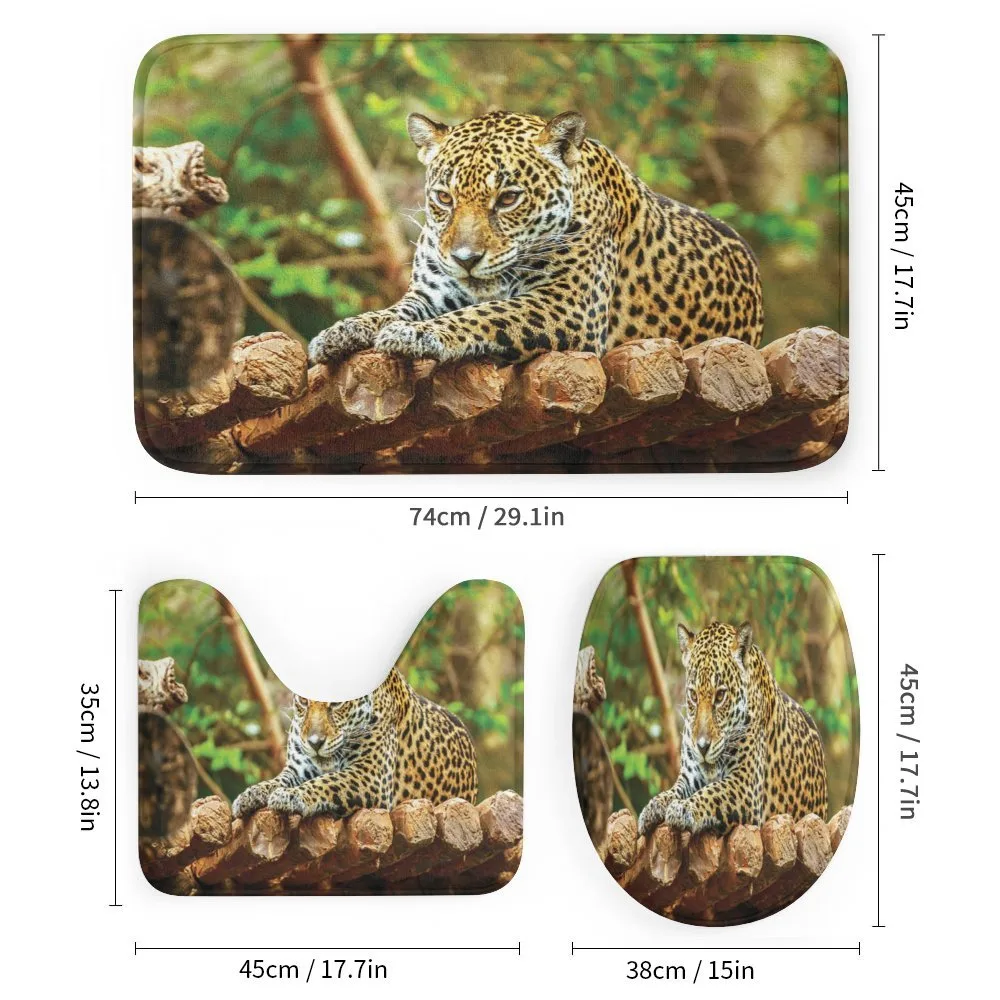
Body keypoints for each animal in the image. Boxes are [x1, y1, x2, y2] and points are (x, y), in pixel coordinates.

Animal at [232, 667, 477, 820]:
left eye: (337, 703)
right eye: (303, 701)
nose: (315, 742)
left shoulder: (371, 774)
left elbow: (328, 781)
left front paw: (291, 796)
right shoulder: (298, 769)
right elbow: (275, 781)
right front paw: (249, 795)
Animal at [308, 109, 763, 367]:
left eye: (508, 198)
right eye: (443, 198)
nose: (465, 258)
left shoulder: (568, 304)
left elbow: (487, 314)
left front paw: (417, 335)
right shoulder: (431, 294)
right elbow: (387, 312)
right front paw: (340, 332)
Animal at [637, 621, 827, 837]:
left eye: (720, 696)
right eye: (693, 695)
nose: (702, 747)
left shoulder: (745, 784)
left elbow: (712, 793)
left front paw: (683, 808)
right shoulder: (690, 777)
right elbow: (672, 791)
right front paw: (652, 808)